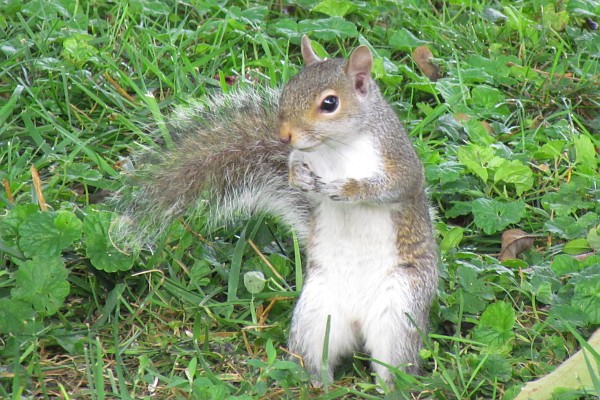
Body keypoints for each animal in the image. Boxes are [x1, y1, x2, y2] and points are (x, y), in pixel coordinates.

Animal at [115, 36, 438, 384]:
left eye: (330, 103)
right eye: (288, 90)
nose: (284, 135)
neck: (337, 147)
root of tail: (356, 321)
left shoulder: (398, 158)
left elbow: (396, 185)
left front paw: (347, 189)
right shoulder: (302, 157)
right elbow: (294, 172)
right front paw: (300, 177)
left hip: (399, 314)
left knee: (394, 365)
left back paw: (388, 386)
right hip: (315, 314)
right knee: (316, 355)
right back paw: (317, 381)